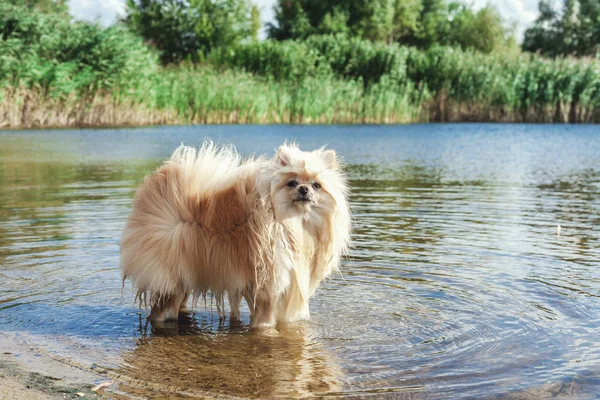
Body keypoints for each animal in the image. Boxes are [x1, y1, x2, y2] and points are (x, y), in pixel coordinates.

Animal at [119, 142, 350, 330]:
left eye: (317, 185)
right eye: (291, 183)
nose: (304, 189)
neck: (294, 224)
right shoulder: (270, 283)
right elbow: (266, 317)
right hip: (169, 278)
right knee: (160, 310)